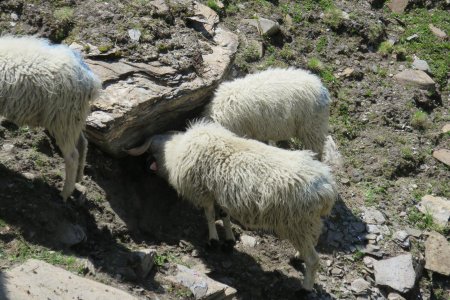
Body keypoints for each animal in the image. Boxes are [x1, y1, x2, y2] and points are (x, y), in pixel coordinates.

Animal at [0, 36, 101, 200]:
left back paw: (65, 193)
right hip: (73, 118)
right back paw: (78, 178)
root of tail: (89, 78)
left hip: (63, 118)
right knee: (83, 143)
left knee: (72, 156)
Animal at [125, 121, 336, 290]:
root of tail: (327, 189)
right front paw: (229, 240)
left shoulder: (204, 192)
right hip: (306, 222)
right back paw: (297, 256)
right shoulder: (220, 193)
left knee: (314, 260)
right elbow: (224, 215)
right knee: (311, 241)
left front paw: (213, 241)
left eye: (149, 151)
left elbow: (210, 215)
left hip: (296, 222)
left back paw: (306, 287)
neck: (175, 151)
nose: (144, 167)